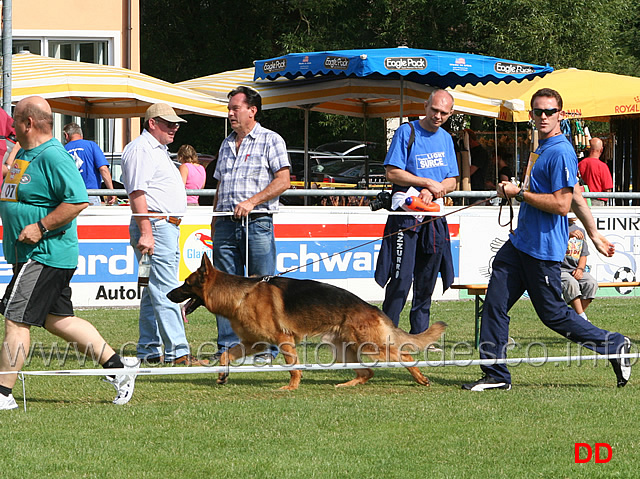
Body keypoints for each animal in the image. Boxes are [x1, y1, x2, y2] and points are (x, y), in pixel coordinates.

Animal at [166, 255, 444, 390]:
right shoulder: (253, 344)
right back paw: (345, 384)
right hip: (342, 349)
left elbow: (293, 368)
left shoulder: (283, 341)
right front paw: (223, 375)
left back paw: (421, 379)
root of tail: (370, 307)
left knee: (403, 356)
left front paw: (291, 387)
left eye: (186, 284)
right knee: (367, 372)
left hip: (370, 346)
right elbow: (225, 356)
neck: (240, 295)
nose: (168, 295)